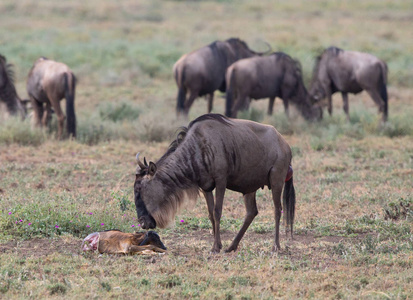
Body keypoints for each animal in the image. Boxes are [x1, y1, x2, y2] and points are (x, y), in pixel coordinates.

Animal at [134, 113, 294, 254]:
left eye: (139, 189)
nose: (142, 223)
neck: (197, 147)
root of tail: (285, 144)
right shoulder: (206, 186)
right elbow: (211, 213)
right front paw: (217, 245)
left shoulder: (221, 181)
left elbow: (217, 212)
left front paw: (216, 247)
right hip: (250, 187)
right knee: (251, 212)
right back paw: (232, 246)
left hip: (276, 181)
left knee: (277, 210)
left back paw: (275, 247)